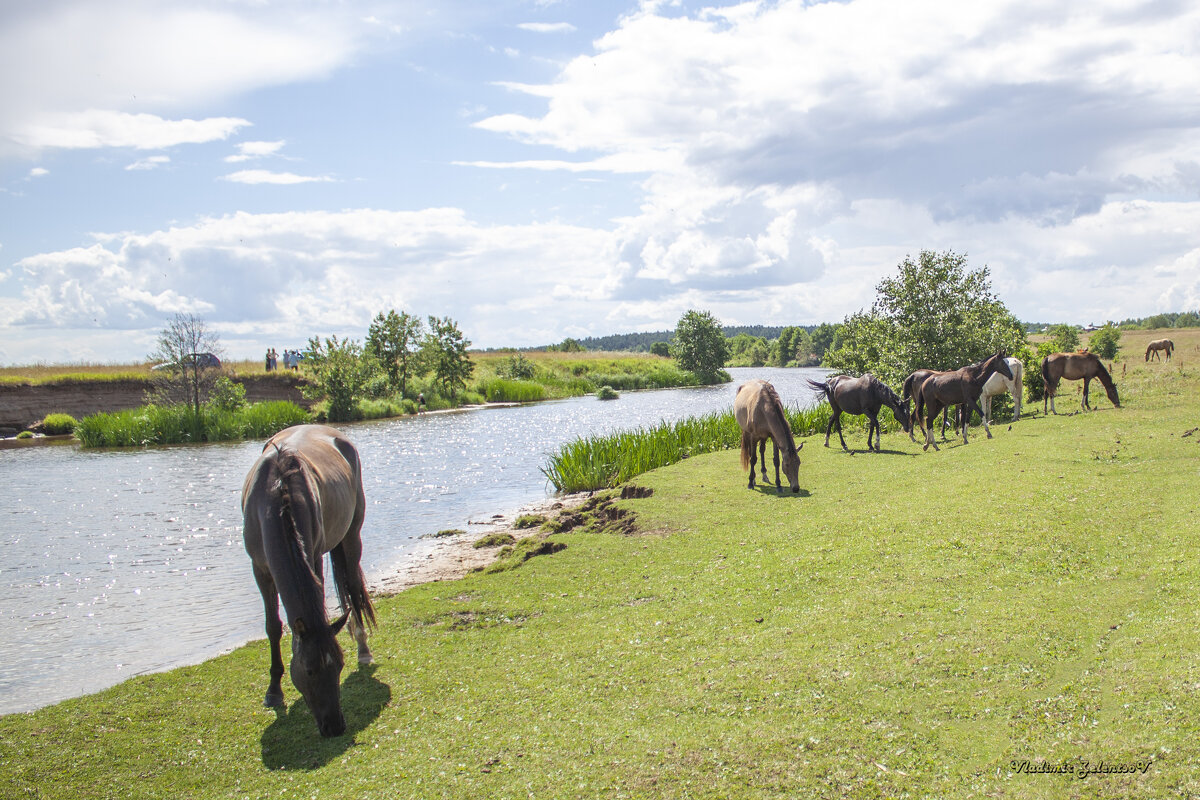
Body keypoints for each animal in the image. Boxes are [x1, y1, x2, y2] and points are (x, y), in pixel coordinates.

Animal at [238, 424, 374, 738]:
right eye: (310, 671)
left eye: (339, 665)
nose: (335, 726)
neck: (277, 495)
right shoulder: (259, 569)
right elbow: (273, 626)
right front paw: (274, 690)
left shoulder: (312, 557)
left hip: (351, 534)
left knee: (351, 587)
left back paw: (363, 648)